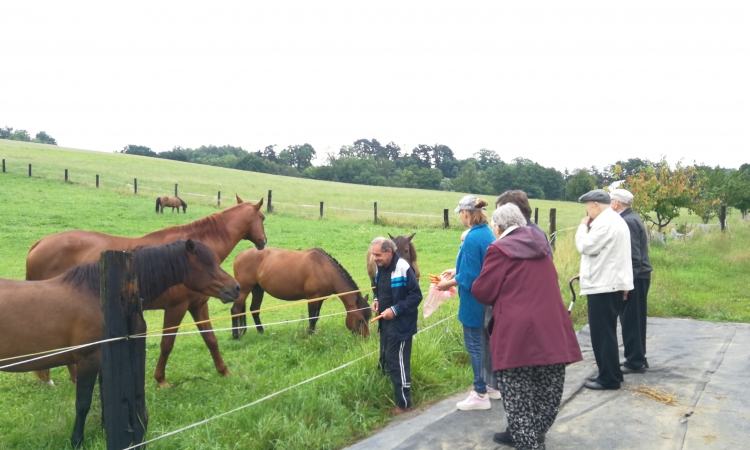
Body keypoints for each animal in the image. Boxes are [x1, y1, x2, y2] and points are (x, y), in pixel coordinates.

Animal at [0, 239, 239, 446]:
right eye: (206, 264)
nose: (235, 288)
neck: (96, 293)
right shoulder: (87, 358)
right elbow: (83, 403)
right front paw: (77, 441)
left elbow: (104, 396)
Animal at [25, 193, 268, 386]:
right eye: (263, 218)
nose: (264, 241)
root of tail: (40, 242)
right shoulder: (176, 308)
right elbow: (167, 344)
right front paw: (161, 380)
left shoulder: (198, 305)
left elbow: (211, 339)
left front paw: (224, 371)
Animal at [229, 248, 370, 340]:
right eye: (360, 320)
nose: (366, 337)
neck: (323, 268)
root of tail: (239, 255)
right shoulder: (312, 298)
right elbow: (312, 318)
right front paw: (310, 335)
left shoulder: (320, 299)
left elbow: (316, 318)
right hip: (244, 290)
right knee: (235, 310)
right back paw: (235, 336)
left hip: (258, 289)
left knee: (254, 309)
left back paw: (261, 331)